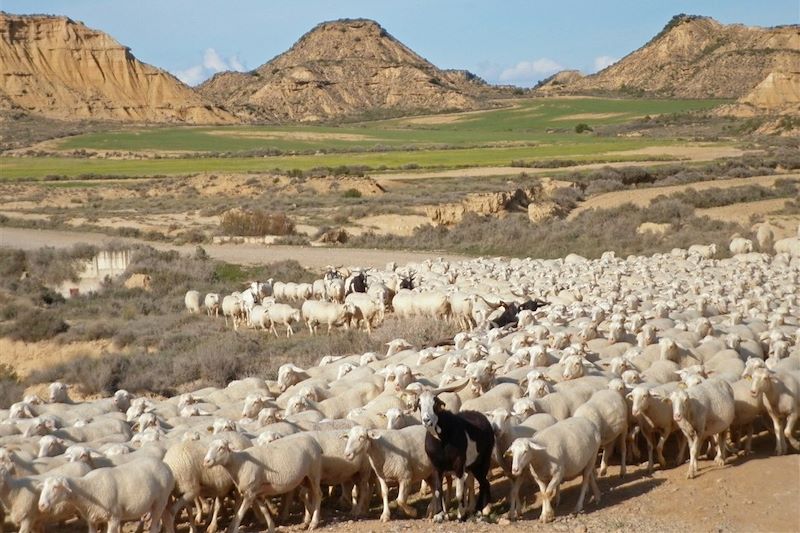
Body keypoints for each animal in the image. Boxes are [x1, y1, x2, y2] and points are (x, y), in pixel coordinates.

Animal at [37, 456, 175, 532]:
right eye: (43, 488)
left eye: (55, 487)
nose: (41, 506)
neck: (89, 489)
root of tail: (165, 465)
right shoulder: (92, 520)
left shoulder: (114, 517)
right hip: (160, 502)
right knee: (168, 519)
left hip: (160, 501)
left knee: (155, 527)